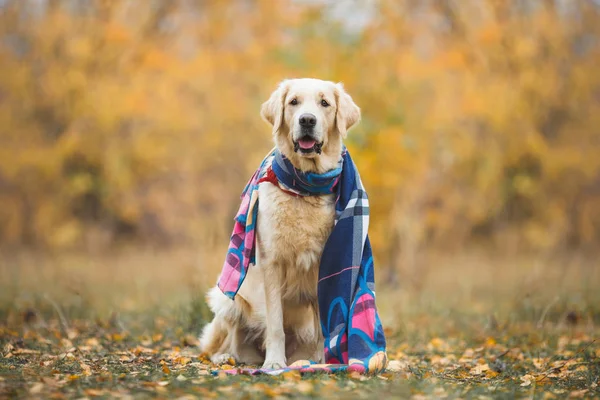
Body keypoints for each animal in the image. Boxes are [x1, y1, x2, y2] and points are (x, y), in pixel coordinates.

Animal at [202, 78, 360, 368]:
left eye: (324, 103)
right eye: (293, 102)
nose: (307, 120)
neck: (305, 188)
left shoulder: (325, 264)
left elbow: (324, 324)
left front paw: (323, 361)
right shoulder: (272, 263)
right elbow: (275, 323)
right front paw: (275, 363)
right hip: (228, 299)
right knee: (223, 340)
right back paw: (228, 357)